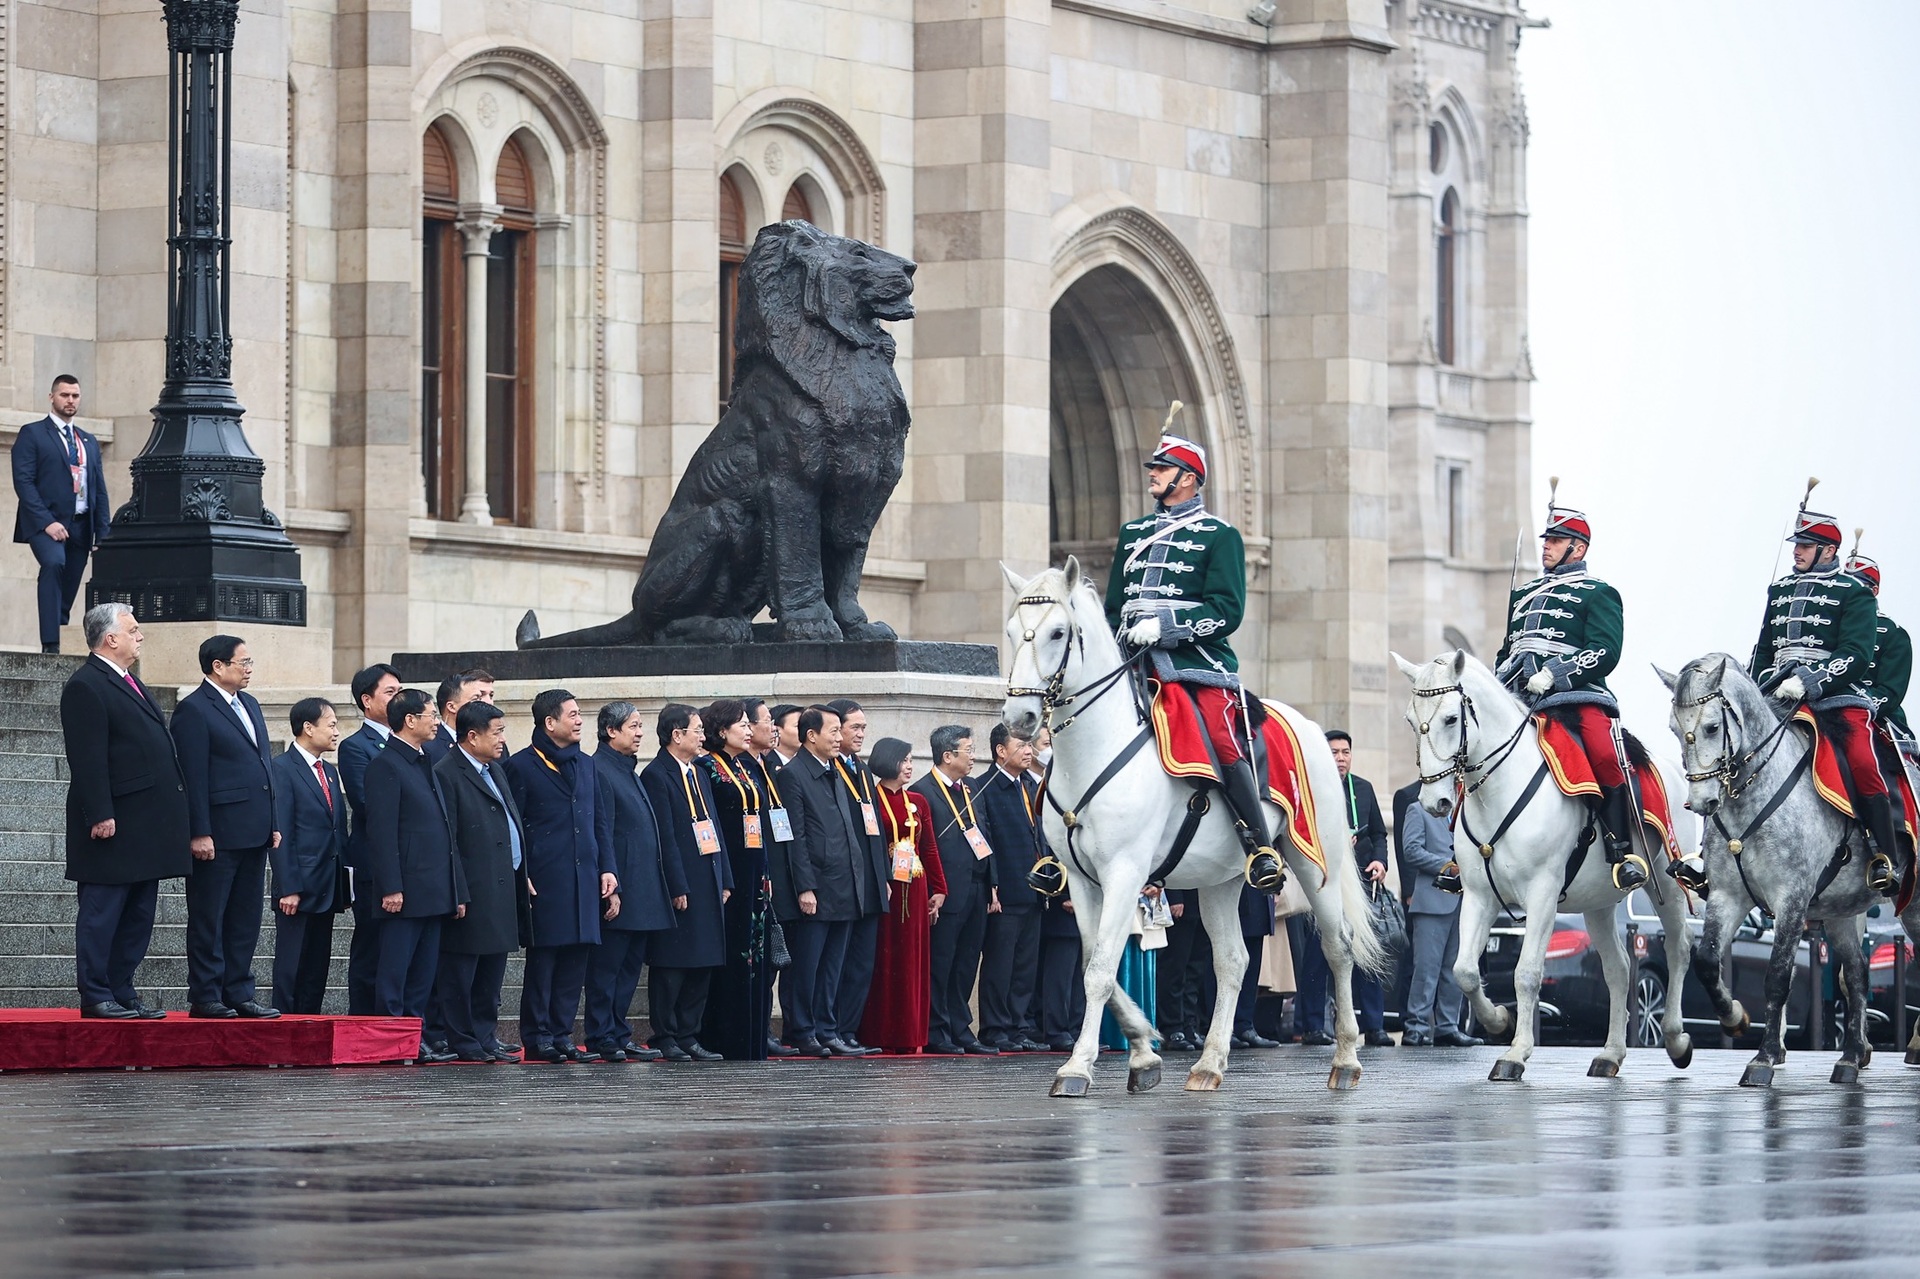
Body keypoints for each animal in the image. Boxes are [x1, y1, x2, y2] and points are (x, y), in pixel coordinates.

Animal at [998, 556, 1390, 1083]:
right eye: (1011, 630)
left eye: (1058, 632)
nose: (1018, 717)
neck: (1096, 747)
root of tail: (1310, 728)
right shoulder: (1081, 880)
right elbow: (1092, 961)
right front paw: (1142, 1048)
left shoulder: (1124, 871)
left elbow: (1099, 969)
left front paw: (1078, 1066)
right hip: (1220, 877)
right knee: (1233, 960)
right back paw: (1210, 1062)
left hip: (1313, 858)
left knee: (1338, 946)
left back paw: (1346, 1057)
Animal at [1397, 649, 1697, 1075]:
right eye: (1410, 719)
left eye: (1451, 718)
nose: (1433, 801)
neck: (1499, 789)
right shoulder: (1478, 895)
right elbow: (1465, 970)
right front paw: (1498, 1021)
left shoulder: (1542, 893)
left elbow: (1526, 973)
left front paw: (1516, 1053)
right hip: (1599, 902)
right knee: (1620, 968)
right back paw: (1611, 1053)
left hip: (1668, 885)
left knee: (1678, 949)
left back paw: (1675, 1039)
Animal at [1651, 652, 1920, 1083]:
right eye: (1675, 729)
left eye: (1711, 727)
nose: (1702, 802)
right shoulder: (1727, 896)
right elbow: (1707, 962)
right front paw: (1734, 1018)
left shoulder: (1792, 899)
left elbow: (1778, 977)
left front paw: (1762, 1059)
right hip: (1843, 911)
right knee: (1856, 974)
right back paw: (1850, 1057)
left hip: (1911, 904)